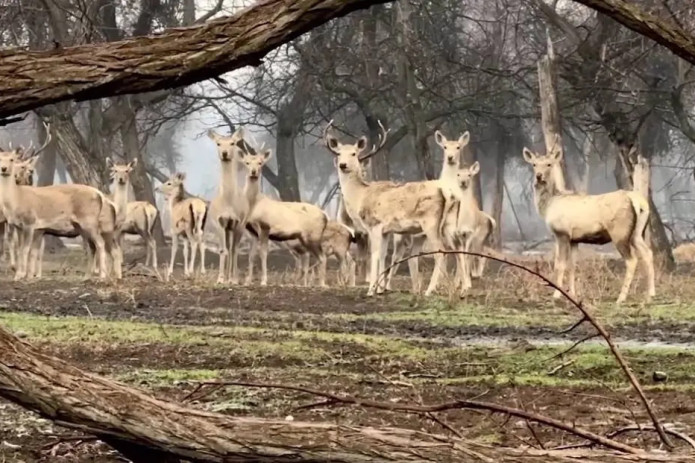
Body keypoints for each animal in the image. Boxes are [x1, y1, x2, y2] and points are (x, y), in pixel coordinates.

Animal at [238, 145, 328, 286]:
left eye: (260, 163)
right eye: (247, 162)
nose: (253, 172)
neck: (254, 205)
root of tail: (325, 216)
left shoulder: (265, 226)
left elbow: (263, 253)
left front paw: (264, 281)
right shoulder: (253, 232)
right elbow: (251, 255)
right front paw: (248, 281)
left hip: (313, 235)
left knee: (322, 257)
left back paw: (322, 284)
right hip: (304, 238)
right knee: (311, 257)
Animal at [324, 121, 448, 298]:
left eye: (354, 153)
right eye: (339, 153)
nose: (343, 165)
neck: (360, 197)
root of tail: (444, 196)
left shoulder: (375, 225)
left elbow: (375, 255)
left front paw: (371, 290)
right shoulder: (385, 231)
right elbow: (382, 255)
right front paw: (379, 288)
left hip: (430, 223)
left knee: (440, 252)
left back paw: (429, 290)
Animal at [524, 138, 656, 304]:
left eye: (549, 164)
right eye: (534, 164)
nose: (539, 176)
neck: (549, 205)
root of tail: (638, 201)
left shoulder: (562, 233)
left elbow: (559, 264)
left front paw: (556, 294)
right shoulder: (574, 239)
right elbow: (572, 265)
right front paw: (573, 294)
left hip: (619, 231)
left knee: (631, 259)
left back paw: (621, 297)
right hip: (637, 233)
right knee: (648, 253)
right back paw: (650, 294)